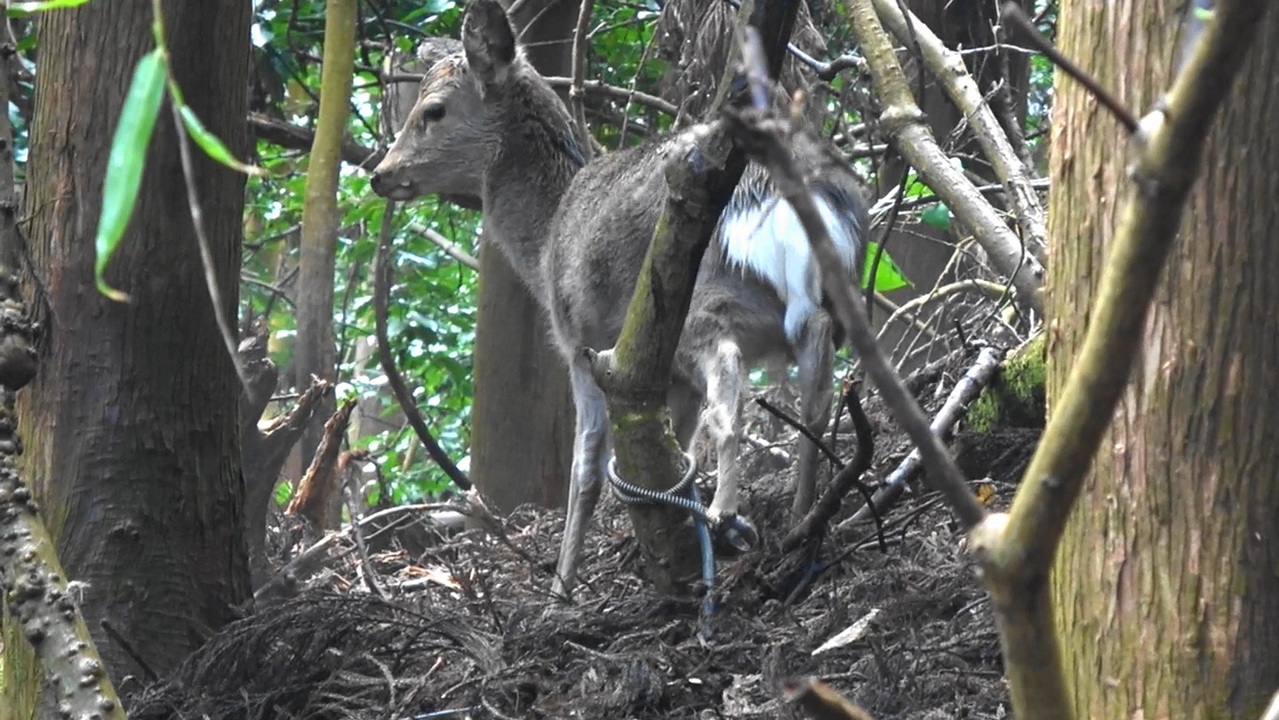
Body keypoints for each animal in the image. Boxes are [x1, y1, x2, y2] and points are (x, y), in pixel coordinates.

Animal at [370, 0, 869, 601]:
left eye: (433, 111)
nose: (380, 174)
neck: (545, 241)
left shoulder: (580, 344)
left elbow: (585, 469)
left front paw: (561, 589)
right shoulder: (661, 378)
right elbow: (665, 452)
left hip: (707, 299)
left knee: (732, 391)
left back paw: (728, 515)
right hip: (825, 301)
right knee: (817, 382)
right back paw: (801, 519)